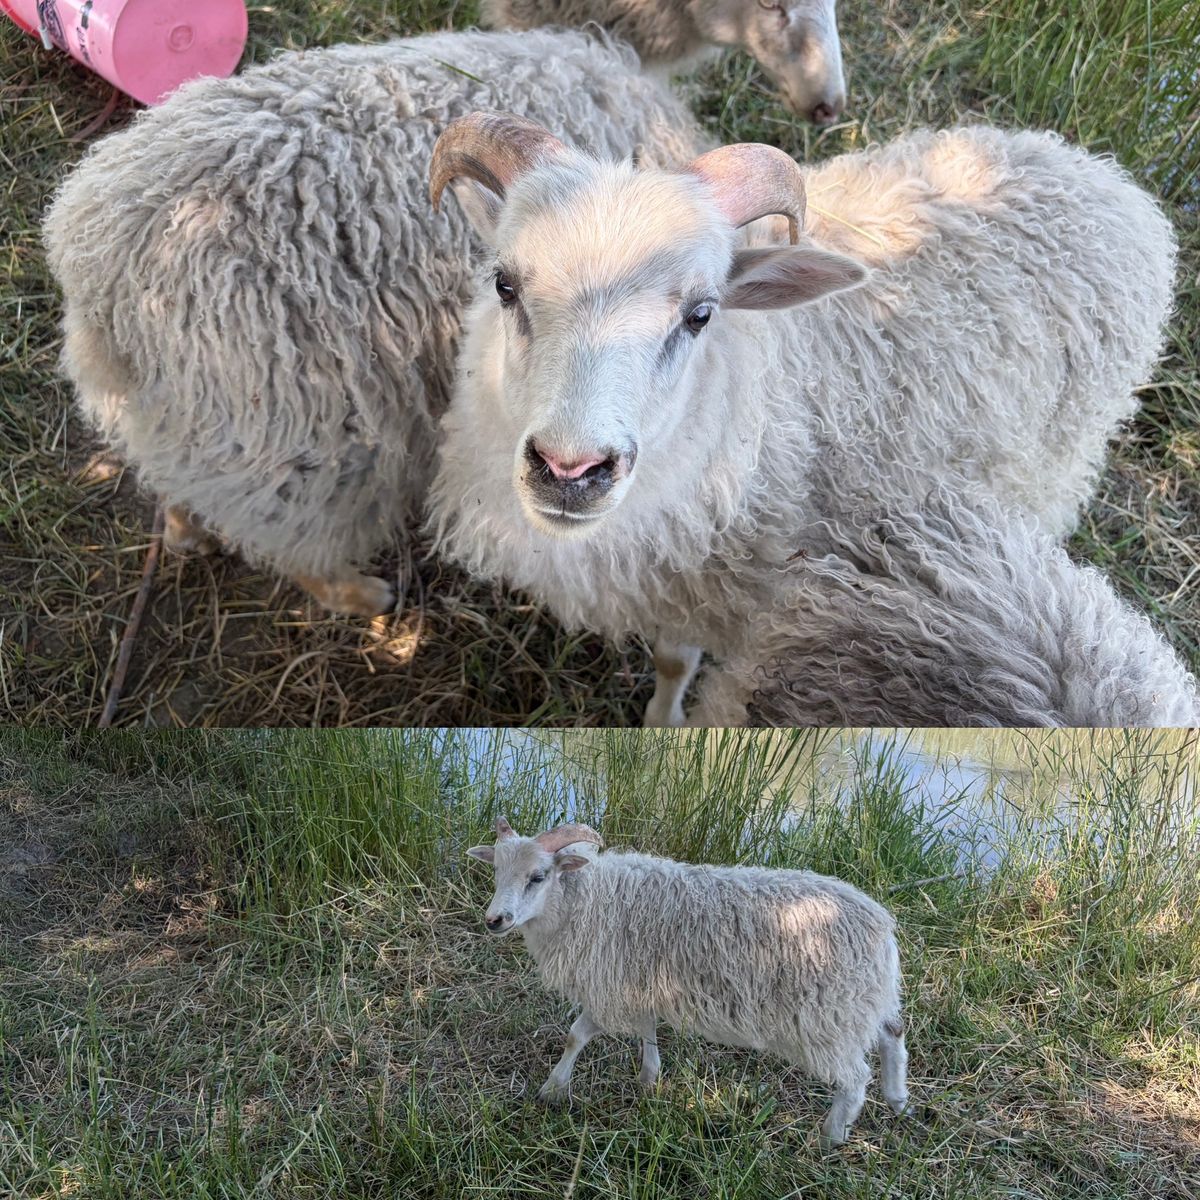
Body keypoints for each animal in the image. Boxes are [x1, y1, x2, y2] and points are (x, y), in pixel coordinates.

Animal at [43, 30, 706, 616]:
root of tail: (106, 275)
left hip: (185, 426)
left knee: (180, 486)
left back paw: (188, 533)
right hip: (299, 446)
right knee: (299, 541)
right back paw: (364, 597)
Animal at [467, 817, 909, 1145]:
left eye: (539, 876)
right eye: (496, 871)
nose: (495, 920)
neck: (587, 899)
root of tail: (880, 926)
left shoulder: (609, 986)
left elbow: (576, 1035)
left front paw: (553, 1090)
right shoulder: (637, 983)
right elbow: (647, 1029)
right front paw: (649, 1078)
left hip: (829, 1017)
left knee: (854, 1079)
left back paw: (831, 1136)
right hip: (865, 1001)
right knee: (893, 1035)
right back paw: (898, 1100)